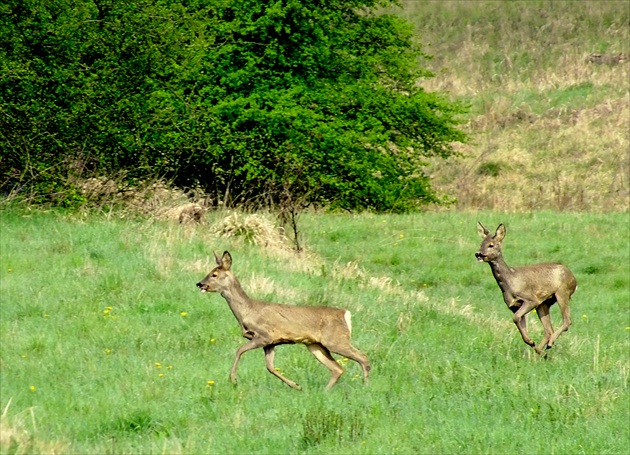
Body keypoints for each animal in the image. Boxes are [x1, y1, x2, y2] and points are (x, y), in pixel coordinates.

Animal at [196, 251, 370, 390]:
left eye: (214, 274)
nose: (199, 283)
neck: (247, 311)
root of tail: (345, 314)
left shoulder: (264, 335)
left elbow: (239, 350)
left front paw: (233, 379)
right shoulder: (270, 343)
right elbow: (270, 367)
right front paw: (296, 386)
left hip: (335, 339)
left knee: (363, 357)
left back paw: (365, 386)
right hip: (315, 345)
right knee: (337, 368)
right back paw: (325, 391)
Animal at [476, 223, 580, 354]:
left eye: (491, 245)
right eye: (481, 243)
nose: (478, 254)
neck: (510, 281)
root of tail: (574, 279)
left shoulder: (531, 299)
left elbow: (515, 318)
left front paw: (531, 342)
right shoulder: (514, 306)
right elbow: (518, 322)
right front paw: (531, 342)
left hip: (562, 292)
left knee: (567, 321)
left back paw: (549, 344)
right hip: (544, 303)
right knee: (548, 329)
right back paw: (542, 351)